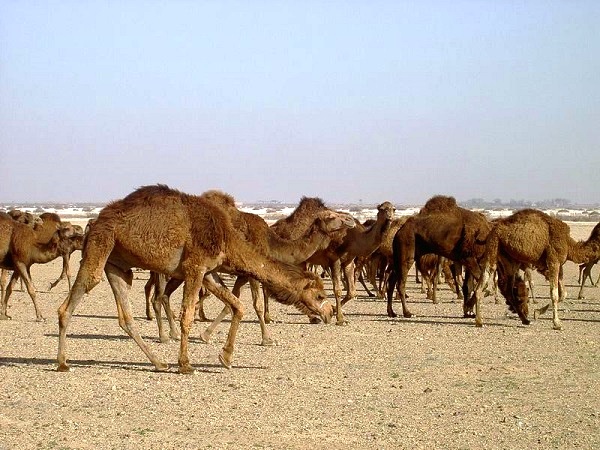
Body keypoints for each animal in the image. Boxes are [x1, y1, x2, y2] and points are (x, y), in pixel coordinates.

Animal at [56, 185, 336, 374]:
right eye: (320, 295)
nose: (329, 312)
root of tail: (95, 221)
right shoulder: (196, 267)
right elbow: (189, 315)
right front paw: (186, 363)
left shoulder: (209, 272)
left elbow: (237, 304)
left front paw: (225, 357)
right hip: (101, 244)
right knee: (75, 298)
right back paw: (62, 362)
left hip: (117, 264)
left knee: (127, 315)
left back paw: (159, 362)